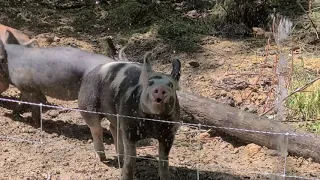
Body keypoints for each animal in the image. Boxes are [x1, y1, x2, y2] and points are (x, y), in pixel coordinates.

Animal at [78, 52, 181, 180]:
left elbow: (164, 160)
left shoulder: (169, 134)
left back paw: (120, 158)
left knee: (113, 128)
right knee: (96, 130)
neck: (154, 121)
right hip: (87, 105)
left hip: (116, 116)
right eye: (150, 83)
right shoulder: (129, 129)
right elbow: (131, 158)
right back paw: (103, 159)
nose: (161, 88)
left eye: (170, 85)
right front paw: (126, 176)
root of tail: (92, 71)